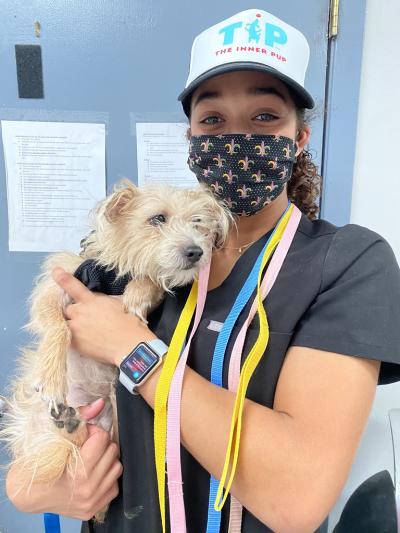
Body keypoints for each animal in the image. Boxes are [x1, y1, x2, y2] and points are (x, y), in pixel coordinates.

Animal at [1, 177, 231, 516]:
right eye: (157, 218)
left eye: (198, 222)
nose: (196, 251)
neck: (114, 273)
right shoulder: (55, 285)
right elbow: (57, 326)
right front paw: (53, 378)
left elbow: (149, 281)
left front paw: (136, 296)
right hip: (38, 420)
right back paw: (66, 419)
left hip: (109, 428)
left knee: (79, 443)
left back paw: (72, 424)